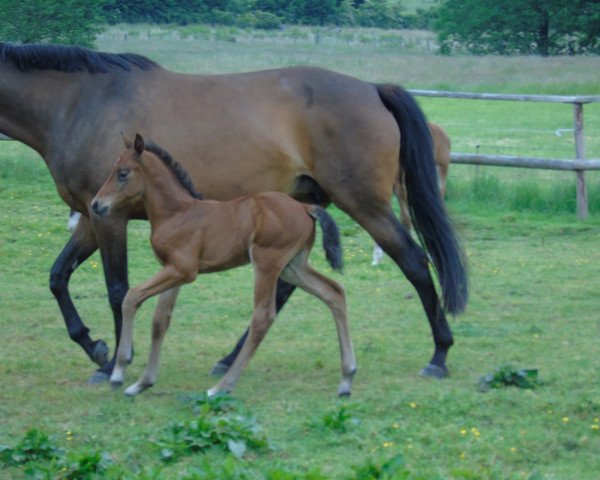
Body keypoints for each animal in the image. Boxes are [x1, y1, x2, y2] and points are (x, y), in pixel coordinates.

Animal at [91, 135, 354, 398]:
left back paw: (222, 386)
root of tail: (304, 207)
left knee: (263, 317)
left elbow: (132, 297)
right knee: (334, 292)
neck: (176, 213)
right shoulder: (173, 271)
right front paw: (143, 382)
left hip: (267, 262)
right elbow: (160, 321)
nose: (96, 205)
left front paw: (119, 371)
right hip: (293, 266)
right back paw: (346, 379)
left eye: (122, 173)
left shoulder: (183, 270)